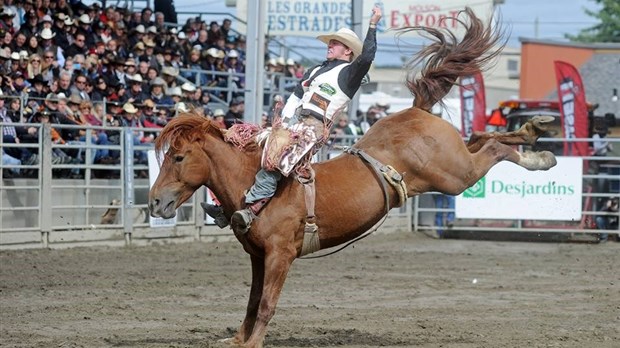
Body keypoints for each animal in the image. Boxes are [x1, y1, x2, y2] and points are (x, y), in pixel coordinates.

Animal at [150, 8, 556, 348]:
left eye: (178, 156)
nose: (155, 201)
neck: (252, 185)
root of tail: (416, 111)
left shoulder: (281, 255)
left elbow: (266, 304)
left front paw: (251, 343)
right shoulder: (257, 256)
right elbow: (251, 303)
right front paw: (237, 340)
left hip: (454, 175)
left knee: (493, 150)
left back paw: (538, 153)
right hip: (455, 159)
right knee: (484, 137)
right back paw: (534, 133)